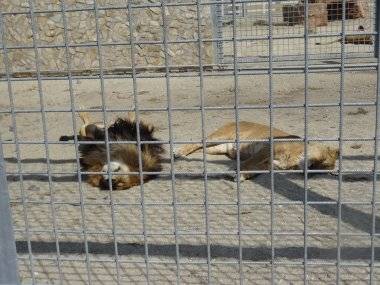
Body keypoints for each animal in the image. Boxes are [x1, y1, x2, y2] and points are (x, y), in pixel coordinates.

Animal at [174, 121, 338, 181]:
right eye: (321, 160)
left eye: (320, 169)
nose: (310, 170)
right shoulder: (267, 148)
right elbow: (249, 162)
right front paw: (235, 171)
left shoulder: (269, 165)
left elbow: (255, 169)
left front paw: (241, 175)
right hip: (219, 137)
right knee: (199, 141)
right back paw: (179, 152)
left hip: (218, 149)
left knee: (201, 149)